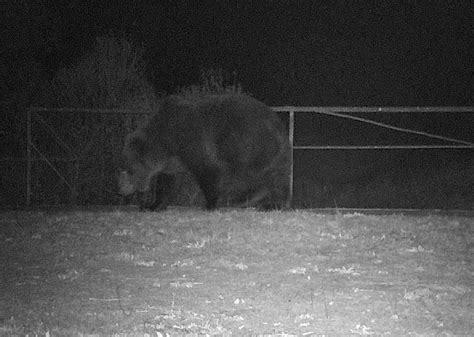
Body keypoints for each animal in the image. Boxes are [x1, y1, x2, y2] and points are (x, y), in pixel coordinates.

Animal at [118, 93, 290, 210]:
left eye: (129, 169)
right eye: (125, 166)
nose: (121, 190)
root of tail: (278, 125)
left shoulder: (194, 144)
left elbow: (207, 171)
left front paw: (210, 204)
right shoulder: (172, 161)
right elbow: (166, 182)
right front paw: (154, 204)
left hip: (244, 144)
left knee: (251, 176)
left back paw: (247, 200)